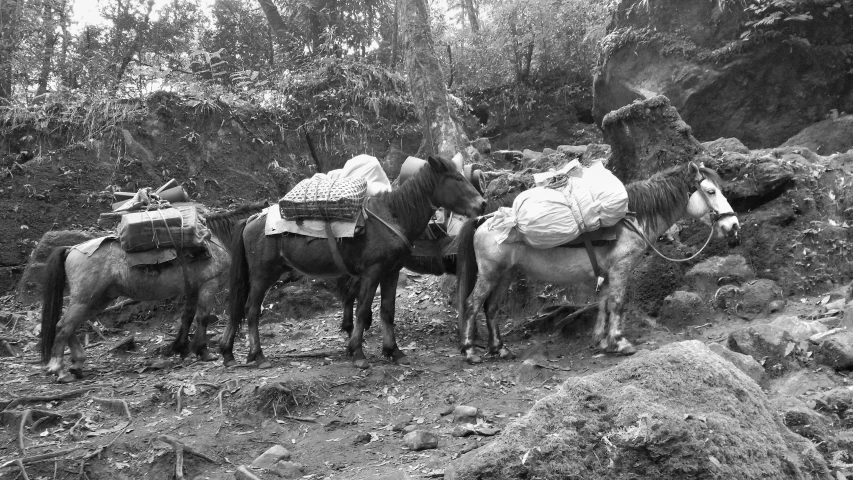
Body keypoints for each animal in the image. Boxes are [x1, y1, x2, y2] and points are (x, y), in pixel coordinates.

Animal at [40, 201, 264, 380]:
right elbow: (202, 317)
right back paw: (58, 368)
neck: (216, 238)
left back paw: (77, 364)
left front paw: (181, 347)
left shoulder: (193, 287)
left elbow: (187, 316)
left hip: (98, 300)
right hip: (85, 299)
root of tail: (71, 249)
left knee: (70, 326)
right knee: (63, 326)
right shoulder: (209, 284)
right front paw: (203, 352)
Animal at [220, 156, 486, 370]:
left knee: (238, 309)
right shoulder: (372, 272)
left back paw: (228, 354)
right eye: (456, 178)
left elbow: (387, 311)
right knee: (251, 310)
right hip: (263, 275)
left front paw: (394, 351)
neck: (393, 216)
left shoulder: (391, 272)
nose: (482, 204)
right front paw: (357, 353)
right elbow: (362, 310)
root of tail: (253, 218)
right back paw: (258, 355)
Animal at [456, 163, 744, 362]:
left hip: (505, 274)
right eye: (710, 191)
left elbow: (604, 303)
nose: (733, 226)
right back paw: (470, 352)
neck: (633, 219)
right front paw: (620, 343)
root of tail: (484, 219)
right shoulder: (621, 268)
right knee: (471, 304)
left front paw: (603, 342)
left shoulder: (608, 271)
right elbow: (617, 303)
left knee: (491, 308)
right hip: (490, 273)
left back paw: (500, 349)